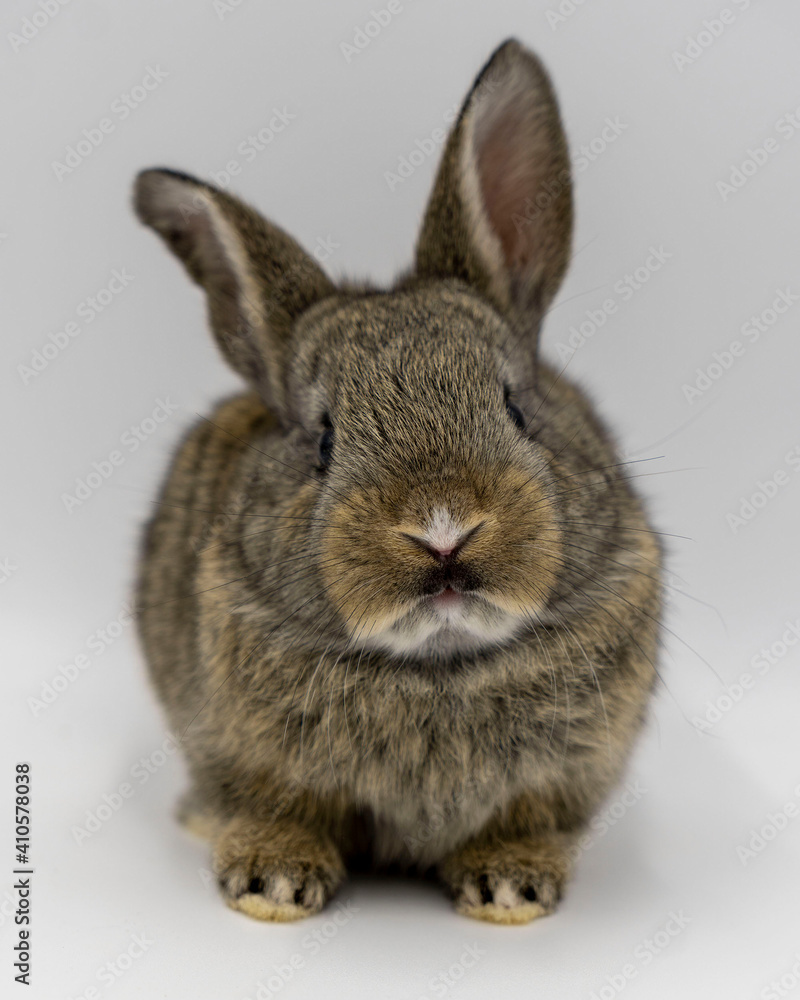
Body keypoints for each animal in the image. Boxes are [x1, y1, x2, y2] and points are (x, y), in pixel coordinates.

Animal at [133, 38, 662, 925]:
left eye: (518, 406)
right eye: (322, 440)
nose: (442, 530)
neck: (437, 666)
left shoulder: (561, 776)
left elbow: (528, 823)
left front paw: (510, 889)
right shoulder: (253, 759)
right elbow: (278, 810)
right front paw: (271, 885)